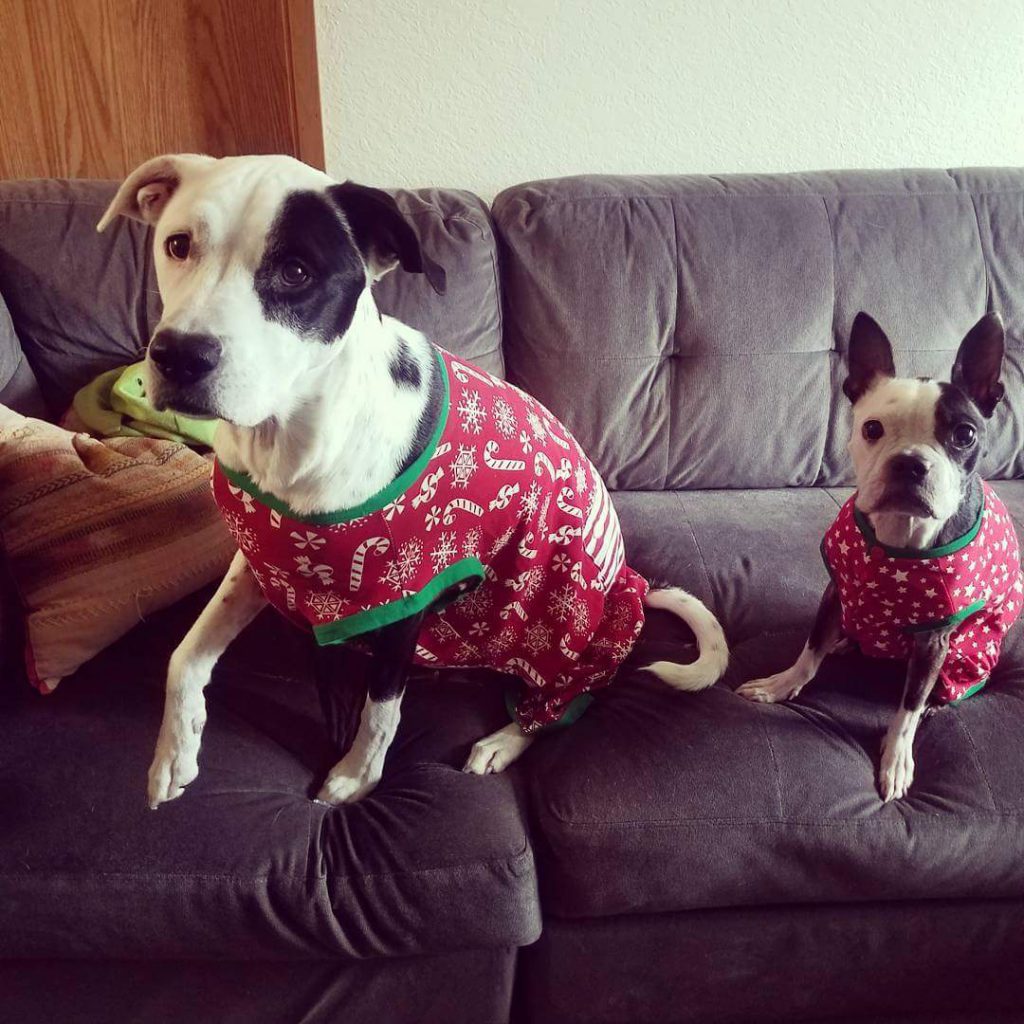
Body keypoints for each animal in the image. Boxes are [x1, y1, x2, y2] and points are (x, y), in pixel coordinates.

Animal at [741, 309, 1019, 798]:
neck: (898, 536)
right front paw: (781, 685)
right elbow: (810, 650)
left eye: (964, 434)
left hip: (964, 656)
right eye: (872, 429)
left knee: (937, 691)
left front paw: (896, 757)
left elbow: (907, 709)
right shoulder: (837, 591)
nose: (909, 462)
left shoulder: (934, 639)